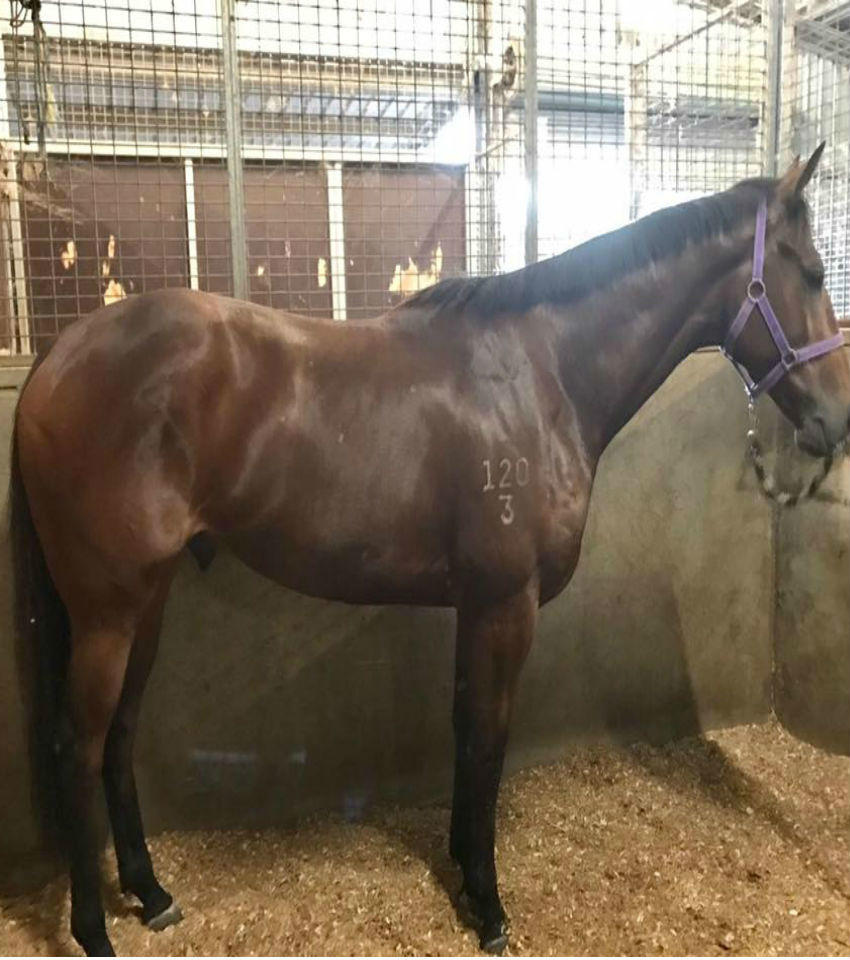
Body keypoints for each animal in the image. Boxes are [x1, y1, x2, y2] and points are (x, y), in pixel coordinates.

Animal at [9, 144, 850, 957]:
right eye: (812, 272)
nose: (836, 424)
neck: (542, 373)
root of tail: (57, 356)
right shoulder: (505, 604)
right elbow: (487, 737)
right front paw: (487, 904)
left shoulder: (474, 606)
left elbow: (463, 728)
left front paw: (461, 868)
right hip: (109, 613)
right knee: (77, 746)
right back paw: (93, 931)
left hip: (145, 602)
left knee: (118, 737)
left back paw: (150, 895)